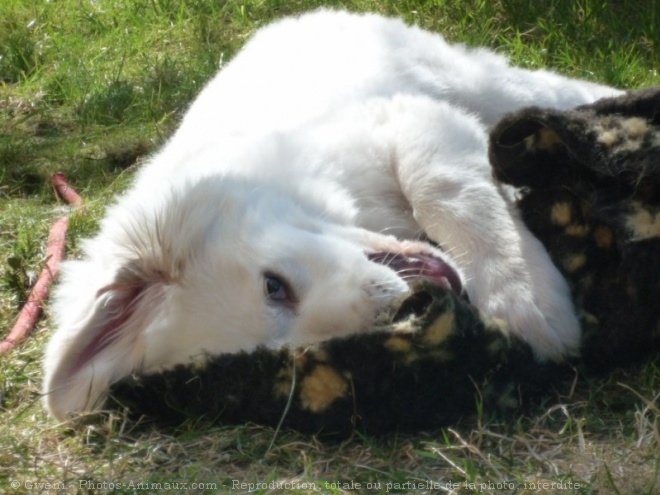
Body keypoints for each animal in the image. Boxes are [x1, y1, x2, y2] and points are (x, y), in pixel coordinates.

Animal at [42, 9, 624, 420]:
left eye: (273, 286)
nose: (405, 312)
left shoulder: (412, 120)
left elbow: (444, 188)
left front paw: (522, 298)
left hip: (470, 80)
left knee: (550, 88)